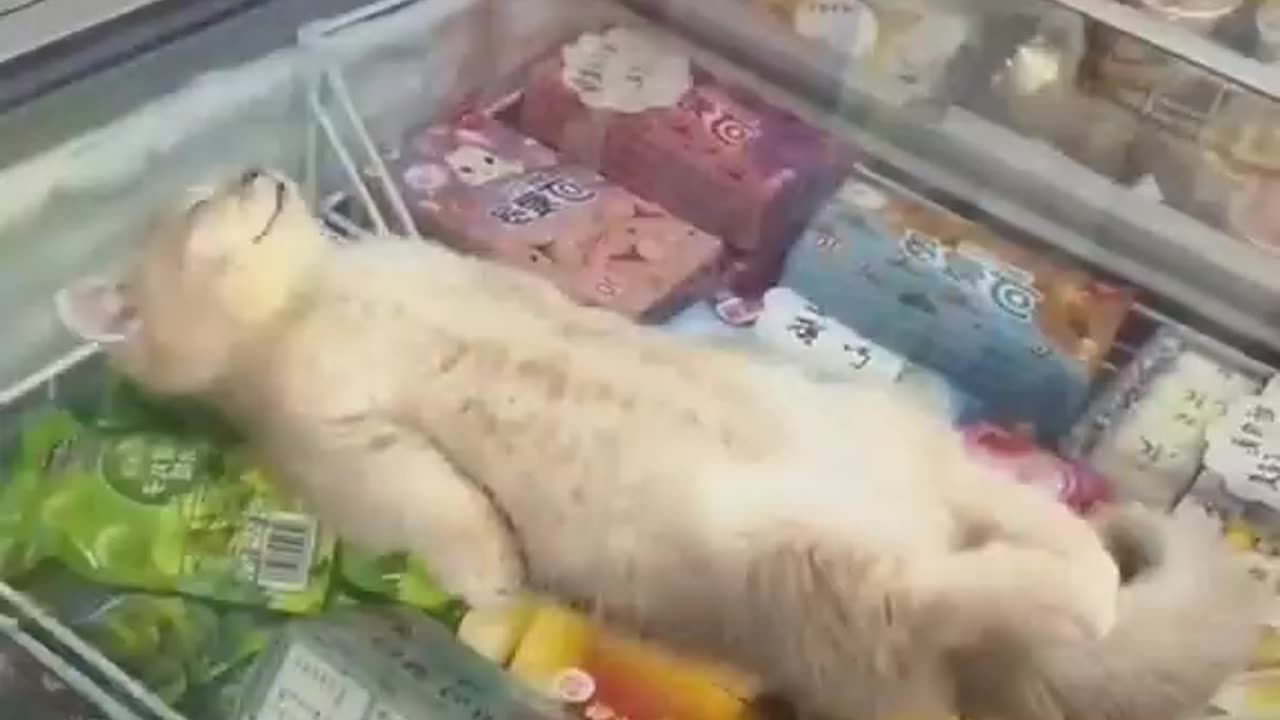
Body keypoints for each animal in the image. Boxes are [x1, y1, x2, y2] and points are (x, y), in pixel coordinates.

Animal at [67, 169, 1259, 717]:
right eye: (197, 208)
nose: (254, 175)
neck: (320, 292)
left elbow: (539, 310)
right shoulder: (335, 445)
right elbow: (434, 503)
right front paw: (492, 584)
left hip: (902, 461)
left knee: (1029, 533)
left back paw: (1085, 563)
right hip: (834, 578)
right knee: (974, 588)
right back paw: (1075, 598)